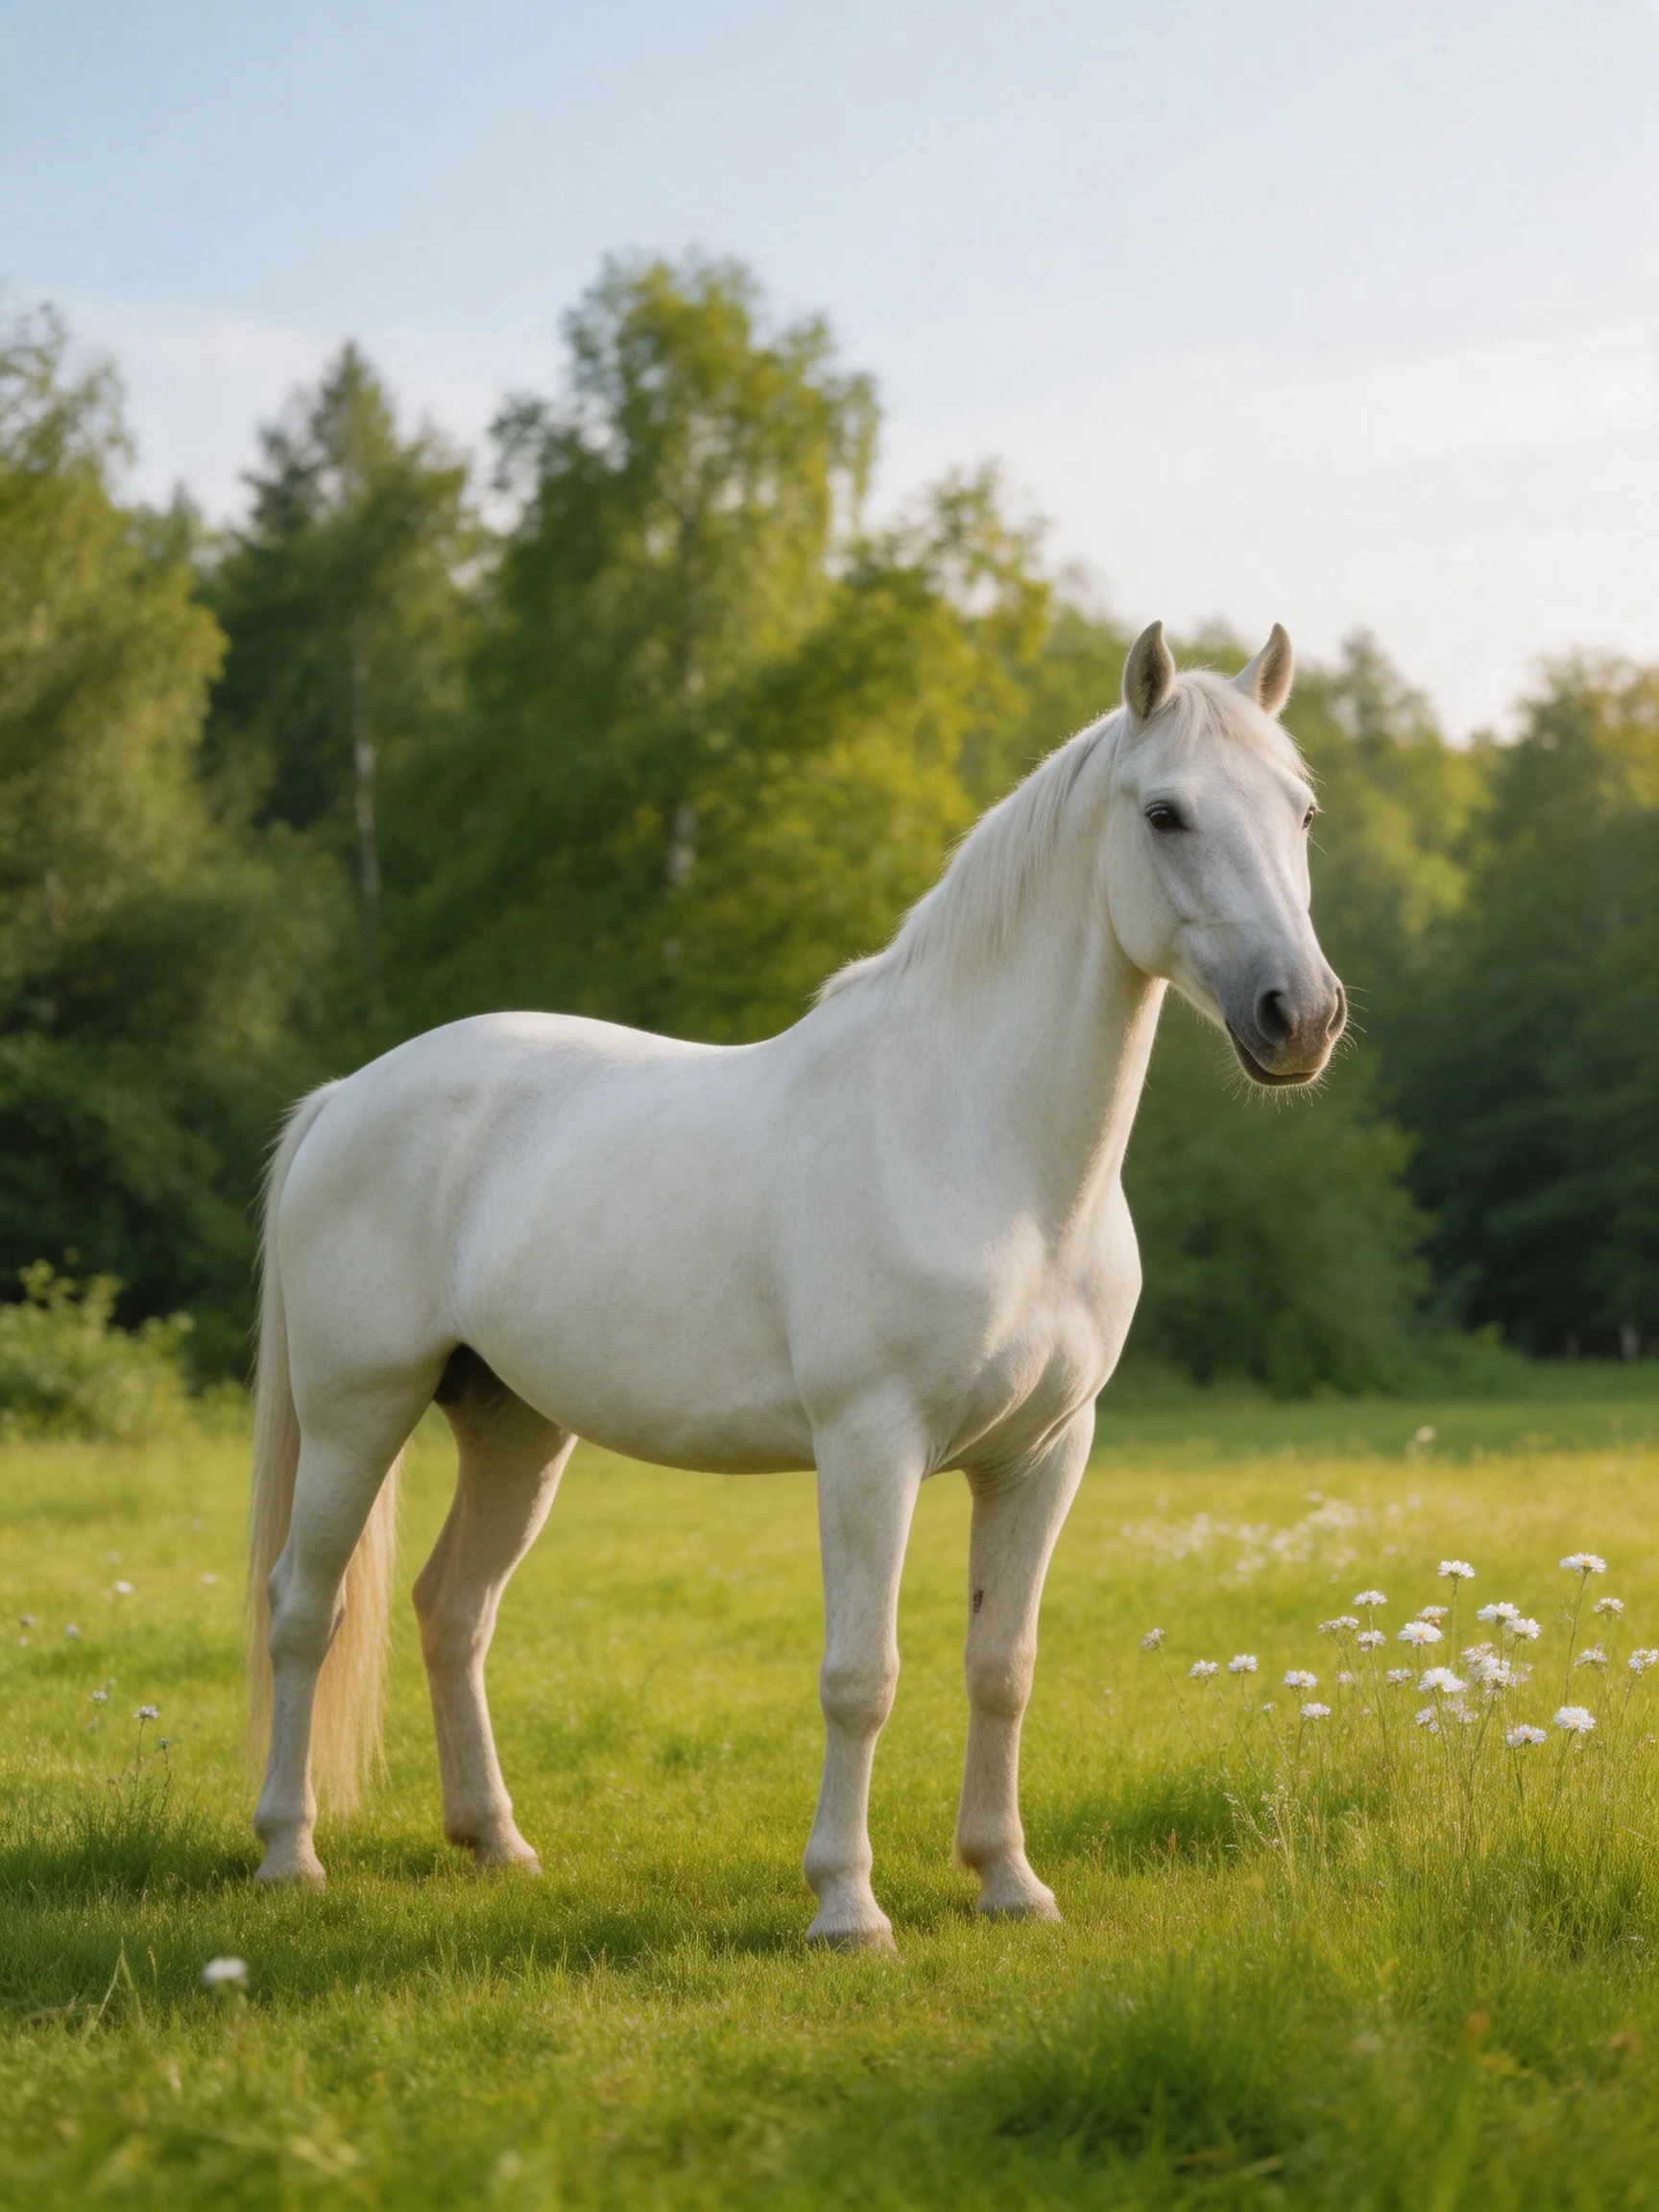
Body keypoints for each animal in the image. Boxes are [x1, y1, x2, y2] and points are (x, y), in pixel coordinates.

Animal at [247, 619, 1344, 1947]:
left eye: (1302, 811)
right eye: (1167, 813)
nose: (1301, 1017)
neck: (981, 1146)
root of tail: (347, 1096)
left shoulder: (1044, 1454)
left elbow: (1003, 1667)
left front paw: (1008, 1882)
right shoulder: (871, 1448)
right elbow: (861, 1676)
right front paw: (847, 1906)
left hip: (514, 1430)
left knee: (453, 1610)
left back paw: (496, 1844)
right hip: (357, 1415)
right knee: (302, 1608)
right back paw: (289, 1854)